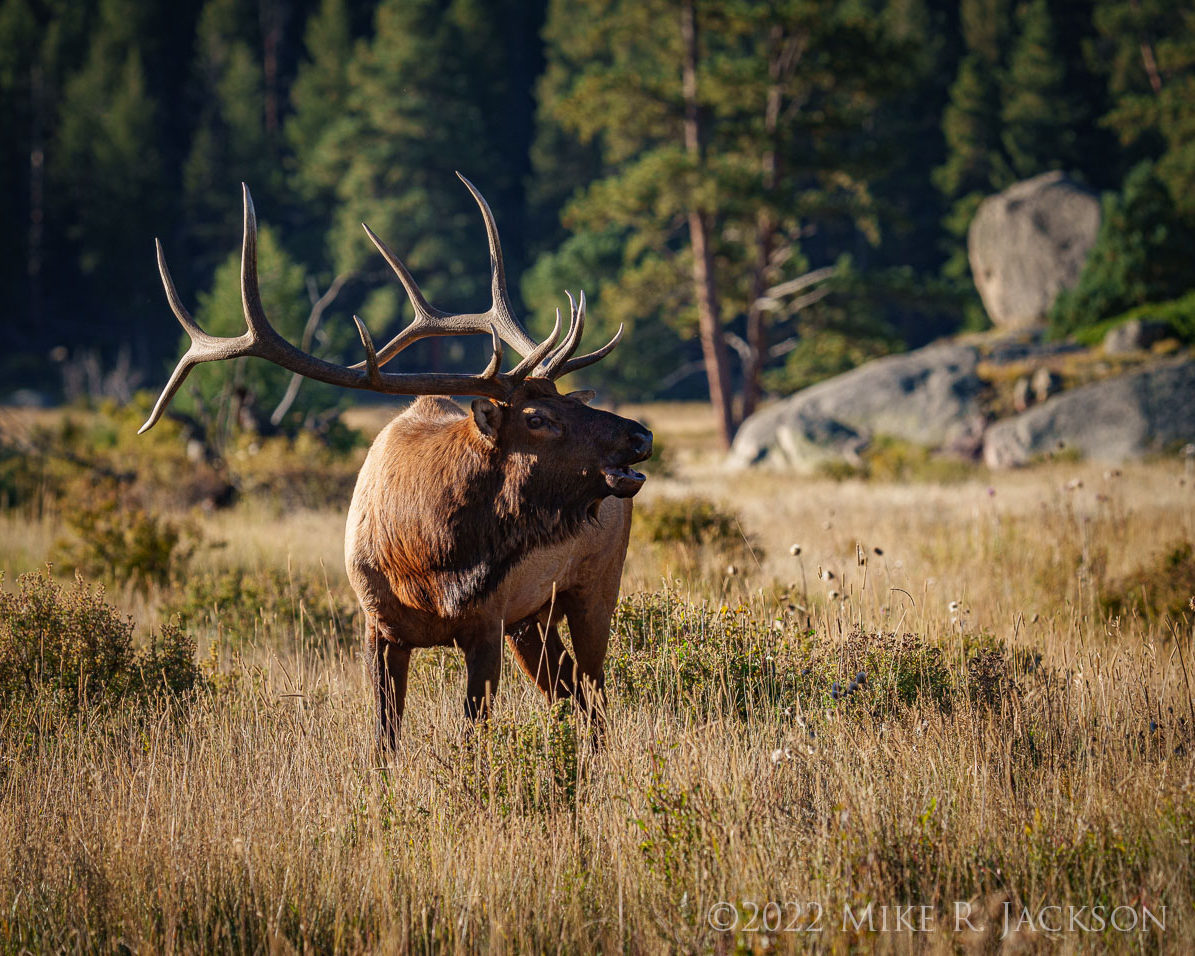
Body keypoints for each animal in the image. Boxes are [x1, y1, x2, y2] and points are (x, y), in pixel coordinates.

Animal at [144, 176, 659, 745]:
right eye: (538, 417)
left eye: (572, 401)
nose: (639, 435)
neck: (429, 559)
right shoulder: (378, 626)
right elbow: (384, 734)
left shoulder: (488, 622)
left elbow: (474, 732)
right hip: (534, 617)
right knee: (572, 691)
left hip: (595, 584)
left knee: (594, 693)